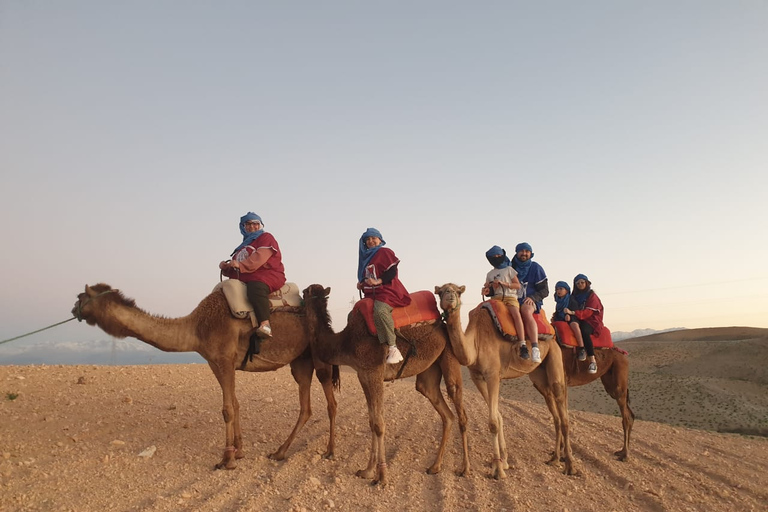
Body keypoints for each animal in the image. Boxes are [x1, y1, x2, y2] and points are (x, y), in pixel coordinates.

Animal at [73, 282, 338, 470]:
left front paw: (226, 460)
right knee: (306, 407)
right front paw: (238, 451)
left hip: (318, 356)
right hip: (300, 360)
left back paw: (330, 451)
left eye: (80, 297)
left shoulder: (223, 359)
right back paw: (280, 452)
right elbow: (235, 404)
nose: (73, 309)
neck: (197, 327)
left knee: (331, 402)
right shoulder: (214, 362)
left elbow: (227, 409)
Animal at [302, 286, 472, 486]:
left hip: (450, 354)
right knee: (445, 412)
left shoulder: (374, 372)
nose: (297, 300)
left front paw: (381, 476)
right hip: (429, 372)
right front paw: (367, 471)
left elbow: (378, 424)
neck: (346, 342)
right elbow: (371, 421)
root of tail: (444, 325)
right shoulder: (363, 375)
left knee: (459, 408)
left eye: (305, 293)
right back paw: (435, 467)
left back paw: (465, 469)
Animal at [432, 284, 576, 480]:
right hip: (539, 374)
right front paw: (502, 462)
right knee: (553, 407)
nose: (450, 296)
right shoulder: (477, 377)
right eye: (441, 291)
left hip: (554, 356)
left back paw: (570, 465)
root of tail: (552, 331)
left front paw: (498, 471)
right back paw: (554, 459)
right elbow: (499, 417)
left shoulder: (493, 374)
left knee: (563, 408)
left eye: (458, 291)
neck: (475, 342)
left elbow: (493, 422)